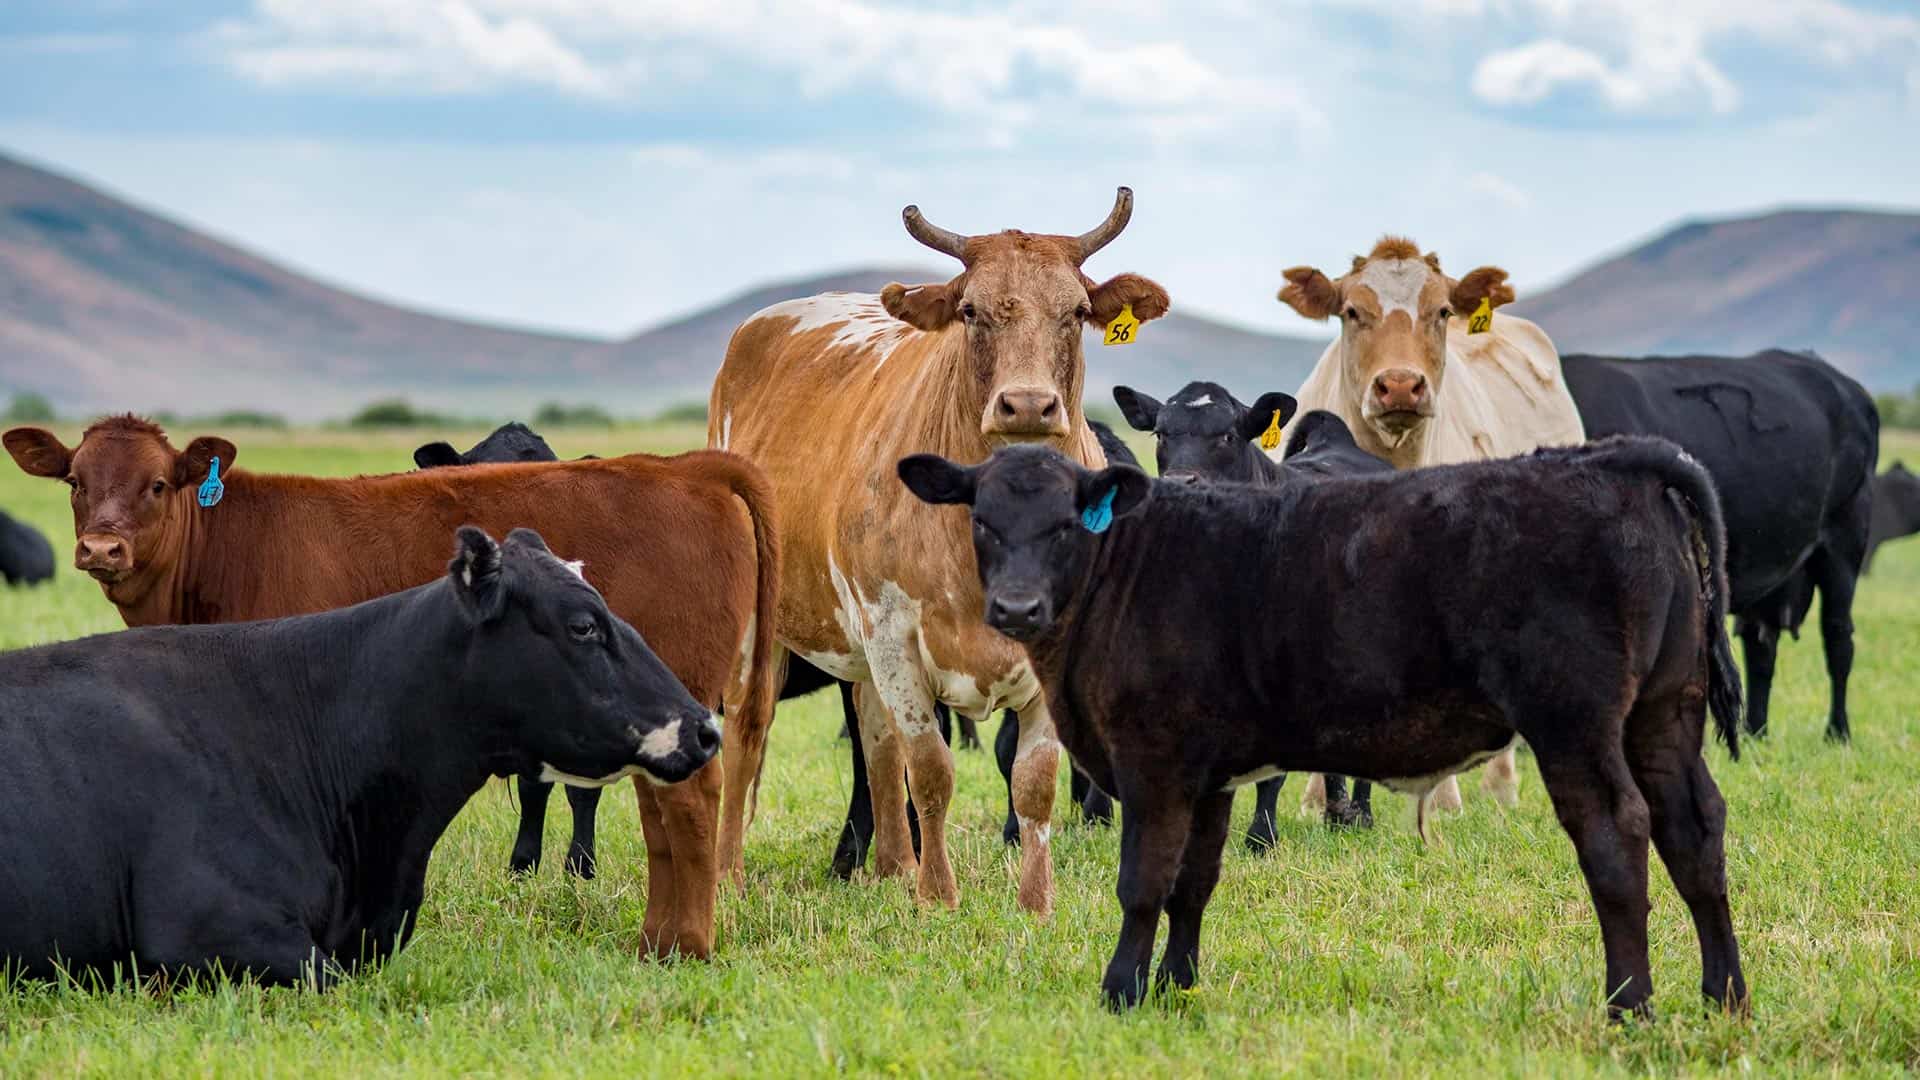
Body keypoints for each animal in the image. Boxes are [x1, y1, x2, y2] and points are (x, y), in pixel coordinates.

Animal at [3, 416, 779, 961]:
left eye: (158, 483)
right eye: (75, 481)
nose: (102, 548)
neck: (230, 546)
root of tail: (685, 467)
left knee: (691, 802)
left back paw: (684, 947)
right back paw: (657, 940)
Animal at [710, 187, 1169, 914]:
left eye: (1075, 312)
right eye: (970, 311)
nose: (1027, 404)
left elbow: (1034, 778)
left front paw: (1035, 901)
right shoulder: (894, 634)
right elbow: (930, 769)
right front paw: (938, 896)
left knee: (874, 738)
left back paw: (893, 866)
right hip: (766, 626)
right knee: (749, 733)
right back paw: (729, 875)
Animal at [900, 438, 1747, 1017]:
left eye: (1065, 524)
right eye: (983, 522)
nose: (1015, 608)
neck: (1123, 569)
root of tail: (1609, 458)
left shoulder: (1154, 761)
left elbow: (1142, 883)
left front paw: (1121, 991)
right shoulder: (1209, 773)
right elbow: (1193, 885)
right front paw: (1178, 986)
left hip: (1574, 719)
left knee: (1616, 833)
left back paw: (1630, 1007)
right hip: (1665, 711)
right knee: (1694, 829)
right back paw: (1723, 997)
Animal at [1113, 382, 1392, 842]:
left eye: (1227, 435)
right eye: (1160, 433)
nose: (1180, 482)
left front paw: (1262, 836)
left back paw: (1362, 813)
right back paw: (1337, 813)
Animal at [1277, 236, 1587, 814]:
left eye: (1440, 311)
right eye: (1352, 312)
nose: (1400, 385)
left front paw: (1444, 802)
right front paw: (1315, 800)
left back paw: (1500, 790)